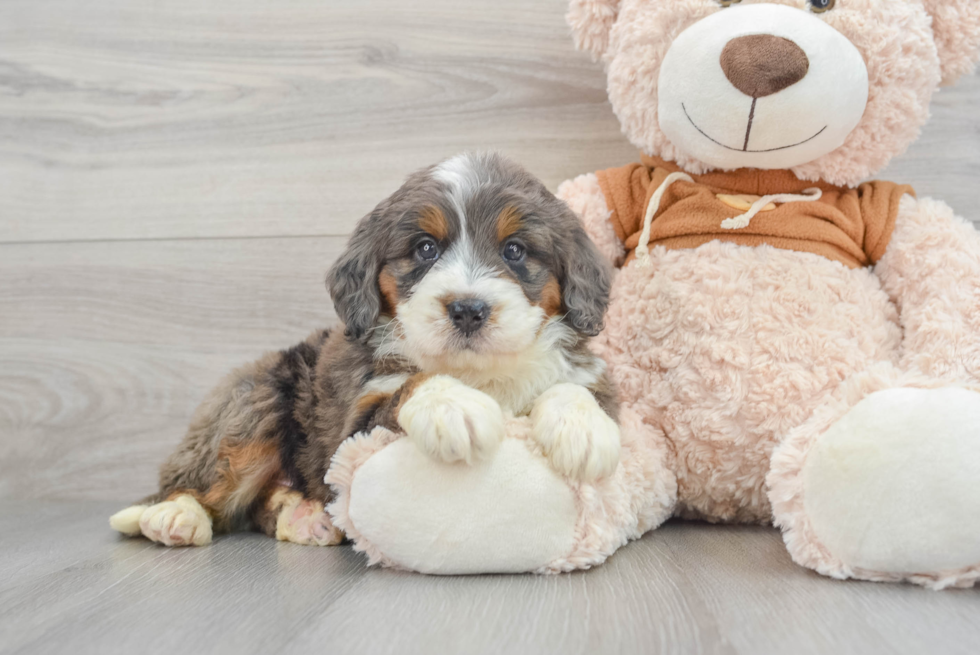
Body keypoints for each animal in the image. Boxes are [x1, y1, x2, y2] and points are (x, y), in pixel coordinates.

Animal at [111, 154, 620, 548]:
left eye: (514, 250)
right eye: (426, 248)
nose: (468, 309)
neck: (479, 370)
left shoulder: (594, 377)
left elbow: (578, 389)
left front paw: (583, 429)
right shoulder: (355, 426)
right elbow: (412, 384)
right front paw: (454, 407)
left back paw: (302, 515)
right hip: (256, 400)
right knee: (204, 481)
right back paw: (174, 515)